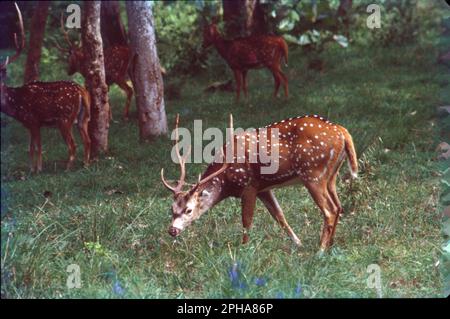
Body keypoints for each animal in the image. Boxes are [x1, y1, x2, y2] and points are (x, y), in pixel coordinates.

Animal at [0, 3, 91, 172]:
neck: (15, 104)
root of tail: (82, 92)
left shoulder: (33, 120)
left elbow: (36, 147)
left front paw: (37, 170)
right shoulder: (33, 124)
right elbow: (33, 147)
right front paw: (33, 169)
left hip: (65, 118)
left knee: (73, 144)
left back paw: (68, 168)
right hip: (83, 118)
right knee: (87, 140)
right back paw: (86, 164)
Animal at [162, 114, 358, 254]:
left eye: (188, 209)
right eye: (172, 208)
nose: (172, 230)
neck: (226, 181)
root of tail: (342, 132)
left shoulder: (249, 185)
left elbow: (246, 221)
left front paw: (243, 250)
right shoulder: (264, 189)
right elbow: (279, 216)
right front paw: (298, 243)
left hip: (313, 174)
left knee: (330, 210)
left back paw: (321, 250)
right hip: (330, 176)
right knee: (338, 206)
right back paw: (330, 244)